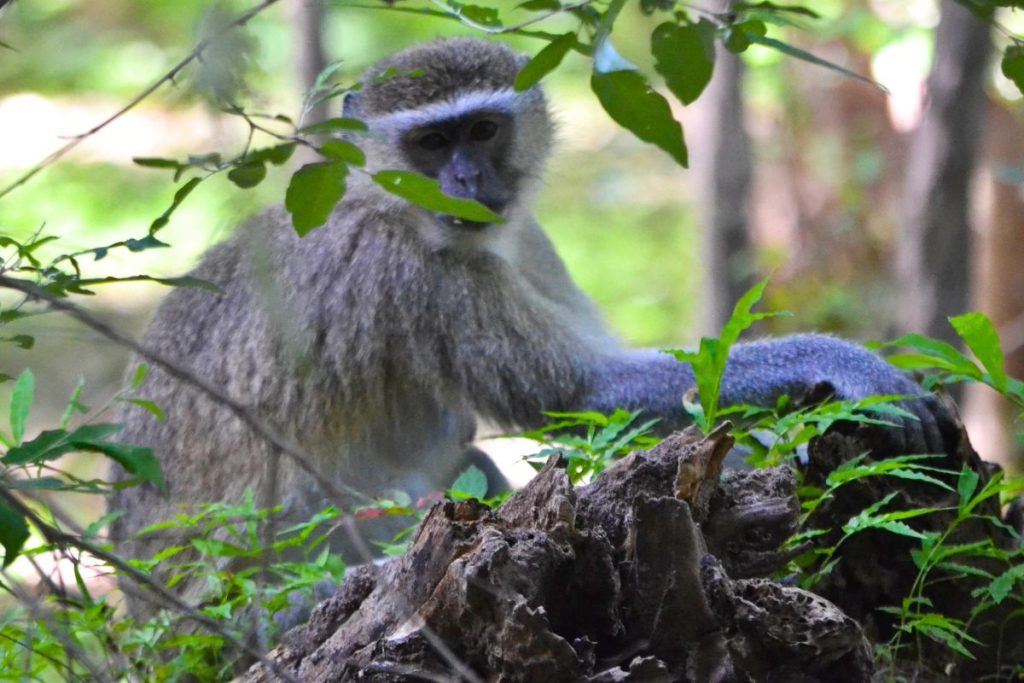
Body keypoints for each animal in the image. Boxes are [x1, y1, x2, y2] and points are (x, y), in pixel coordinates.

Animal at [110, 38, 953, 618]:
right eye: (430, 143)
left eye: (481, 131)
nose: (463, 180)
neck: (390, 200)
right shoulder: (420, 276)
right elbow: (582, 390)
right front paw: (848, 365)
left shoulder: (524, 240)